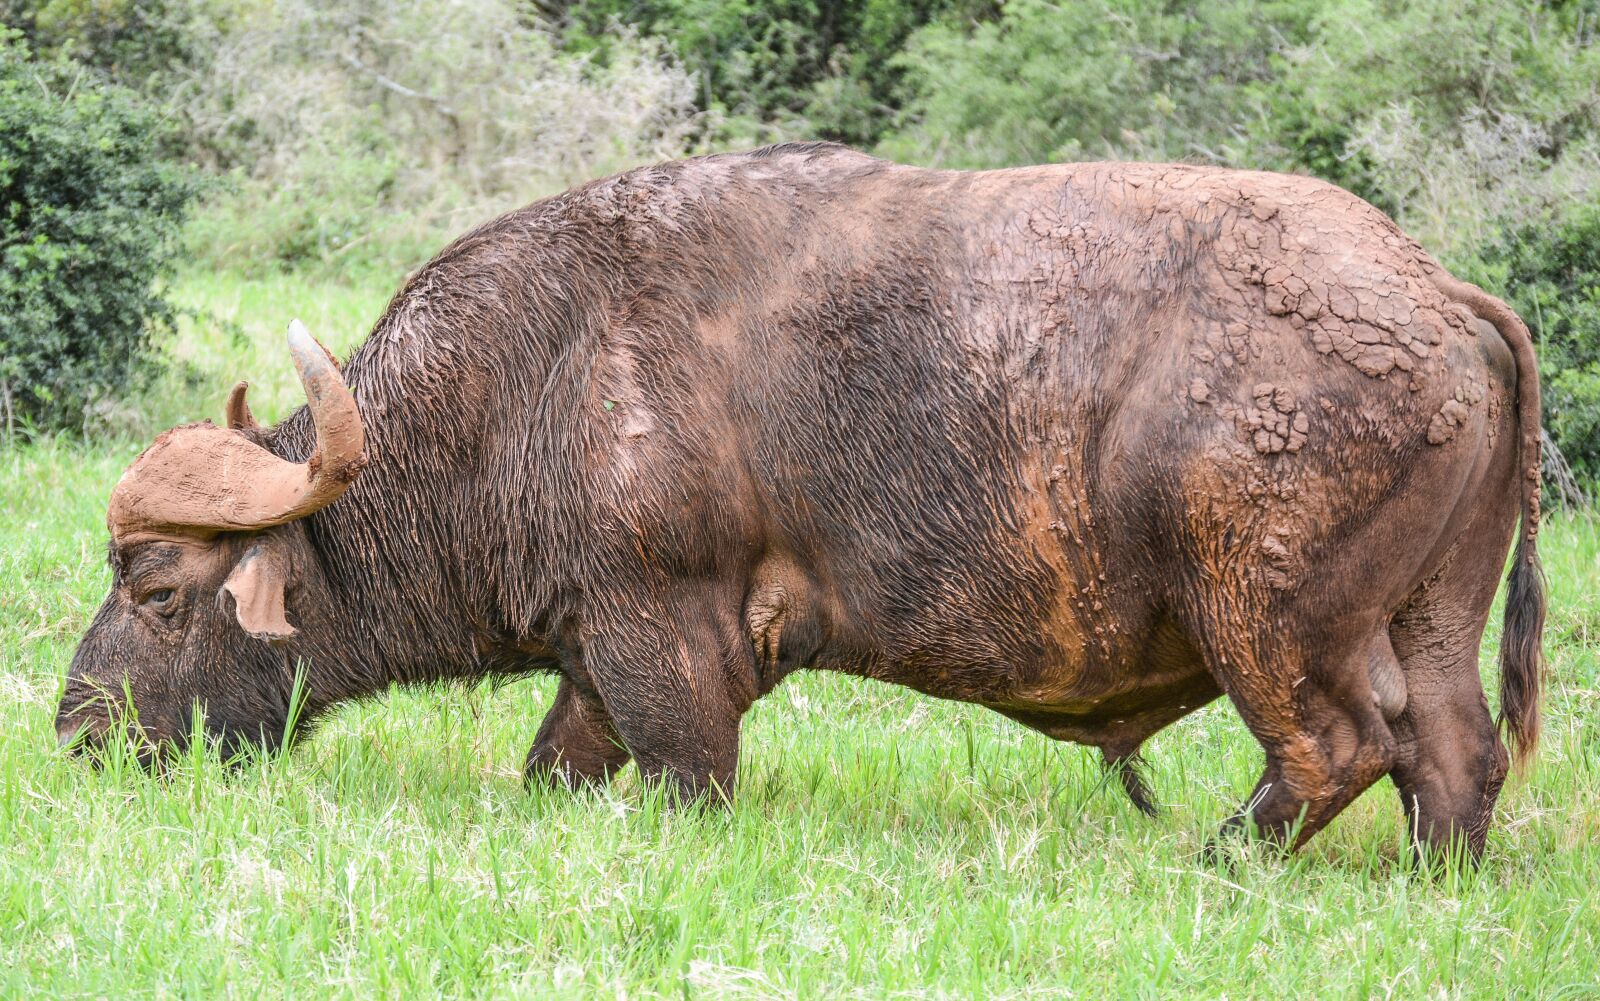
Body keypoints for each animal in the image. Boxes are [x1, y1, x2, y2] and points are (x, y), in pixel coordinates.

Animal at [58, 143, 1545, 861]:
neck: (548, 369)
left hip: (1268, 620)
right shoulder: (596, 662)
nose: (77, 728)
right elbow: (554, 768)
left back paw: (1215, 860)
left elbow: (688, 778)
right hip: (1427, 620)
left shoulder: (666, 647)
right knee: (1453, 757)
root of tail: (1432, 293)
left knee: (1336, 748)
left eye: (156, 583)